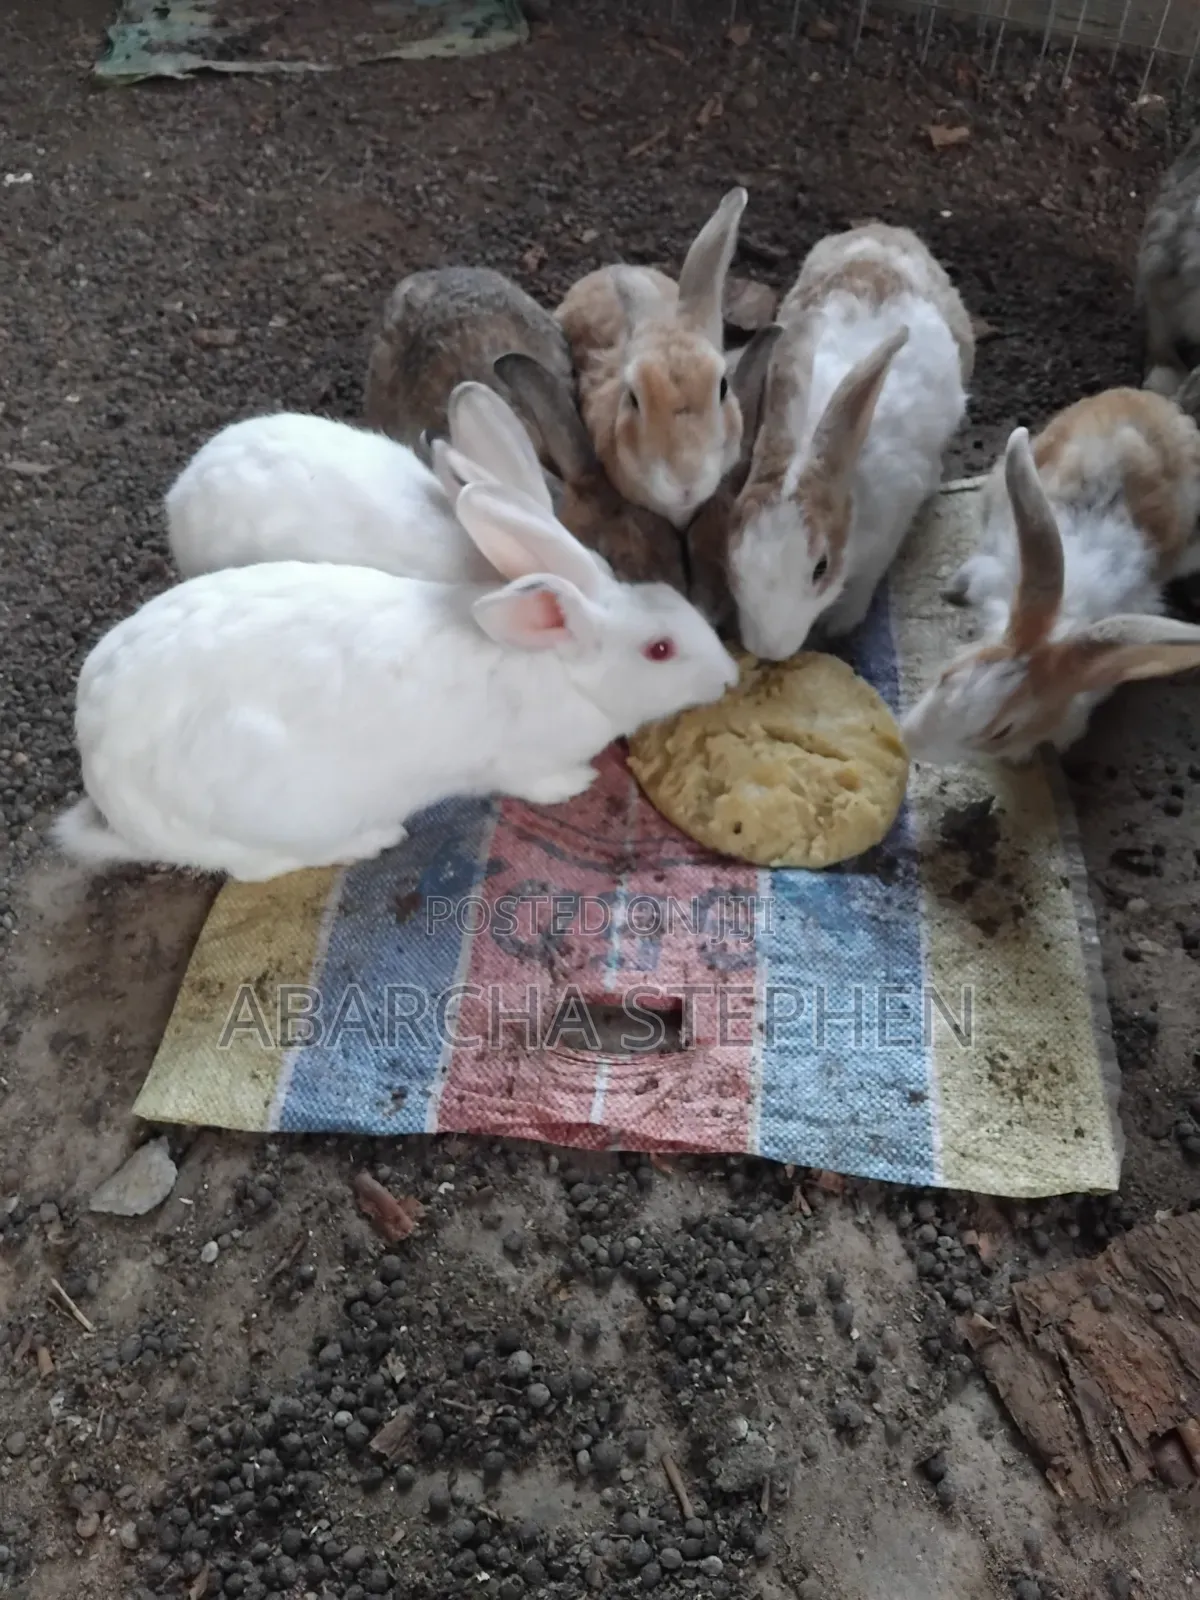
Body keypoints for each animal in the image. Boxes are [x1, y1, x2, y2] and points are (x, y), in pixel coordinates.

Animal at [52, 482, 738, 883]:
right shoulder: (517, 762)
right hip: (274, 814)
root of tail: (108, 787)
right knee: (263, 868)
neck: (558, 667)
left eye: (669, 595)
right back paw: (373, 840)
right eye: (660, 650)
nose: (730, 676)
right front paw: (581, 783)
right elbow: (537, 784)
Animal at [715, 221, 974, 661]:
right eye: (732, 558)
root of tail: (885, 233)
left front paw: (840, 624)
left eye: (821, 567)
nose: (769, 650)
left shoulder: (889, 529)